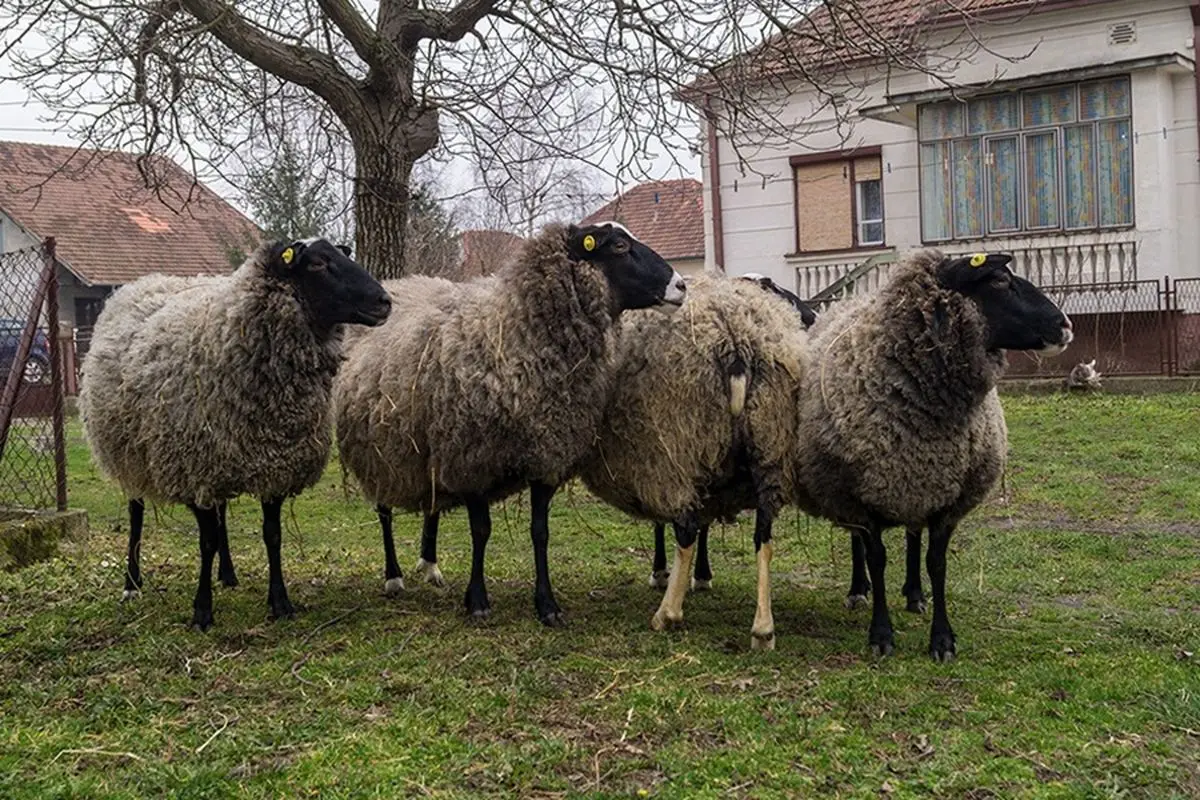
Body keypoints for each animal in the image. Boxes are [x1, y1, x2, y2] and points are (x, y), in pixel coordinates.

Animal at [78, 239, 388, 633]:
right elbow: (206, 541)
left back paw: (227, 573)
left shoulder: (272, 464)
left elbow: (272, 535)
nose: (384, 301)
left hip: (217, 458)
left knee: (222, 511)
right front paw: (202, 611)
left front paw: (280, 602)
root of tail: (142, 283)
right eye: (318, 263)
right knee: (136, 513)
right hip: (129, 453)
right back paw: (132, 583)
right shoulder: (192, 468)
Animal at [333, 219, 686, 623]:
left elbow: (540, 532)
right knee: (384, 512)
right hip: (381, 452)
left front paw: (547, 604)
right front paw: (477, 600)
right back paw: (394, 577)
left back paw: (430, 565)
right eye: (618, 246)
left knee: (431, 505)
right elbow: (481, 531)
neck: (515, 333)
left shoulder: (546, 456)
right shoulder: (471, 460)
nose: (681, 285)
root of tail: (399, 284)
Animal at [578, 275, 811, 652]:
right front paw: (700, 576)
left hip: (679, 444)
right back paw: (763, 630)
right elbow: (704, 523)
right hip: (770, 445)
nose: (813, 316)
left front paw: (664, 574)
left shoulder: (663, 458)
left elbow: (673, 524)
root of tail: (737, 341)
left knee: (685, 530)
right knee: (764, 538)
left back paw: (667, 615)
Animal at [787, 250, 1070, 662]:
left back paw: (914, 594)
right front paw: (881, 634)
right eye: (999, 280)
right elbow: (876, 558)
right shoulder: (861, 495)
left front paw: (942, 638)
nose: (1065, 326)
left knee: (912, 535)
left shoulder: (949, 498)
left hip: (919, 485)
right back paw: (858, 590)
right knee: (859, 542)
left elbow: (936, 563)